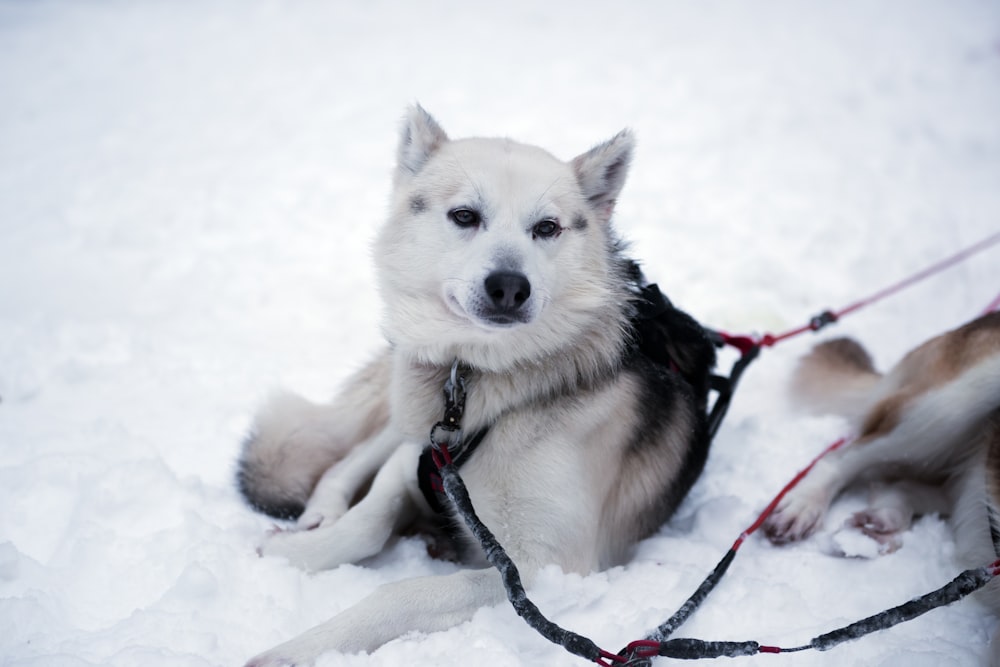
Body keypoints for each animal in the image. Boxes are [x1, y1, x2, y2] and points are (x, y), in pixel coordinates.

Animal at [237, 107, 716, 664]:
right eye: (465, 216)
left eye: (547, 227)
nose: (508, 286)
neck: (479, 387)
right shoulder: (418, 459)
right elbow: (367, 522)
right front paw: (296, 552)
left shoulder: (544, 570)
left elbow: (399, 591)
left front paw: (307, 645)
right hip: (405, 411)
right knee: (353, 454)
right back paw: (320, 513)